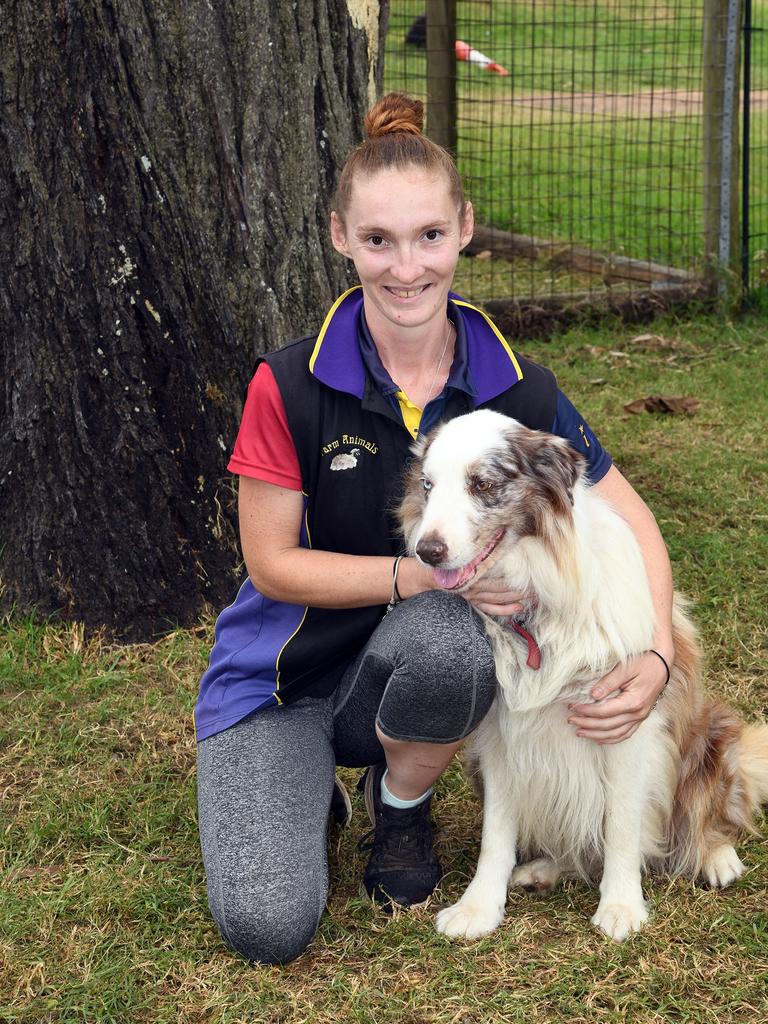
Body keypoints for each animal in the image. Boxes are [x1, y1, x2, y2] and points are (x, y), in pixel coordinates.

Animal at [399, 411, 765, 937]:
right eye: (428, 485)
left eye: (482, 484)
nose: (425, 551)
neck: (535, 608)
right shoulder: (499, 734)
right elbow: (496, 832)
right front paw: (478, 907)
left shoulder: (624, 725)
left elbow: (621, 827)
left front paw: (621, 906)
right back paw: (544, 869)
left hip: (710, 737)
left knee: (706, 814)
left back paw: (716, 857)